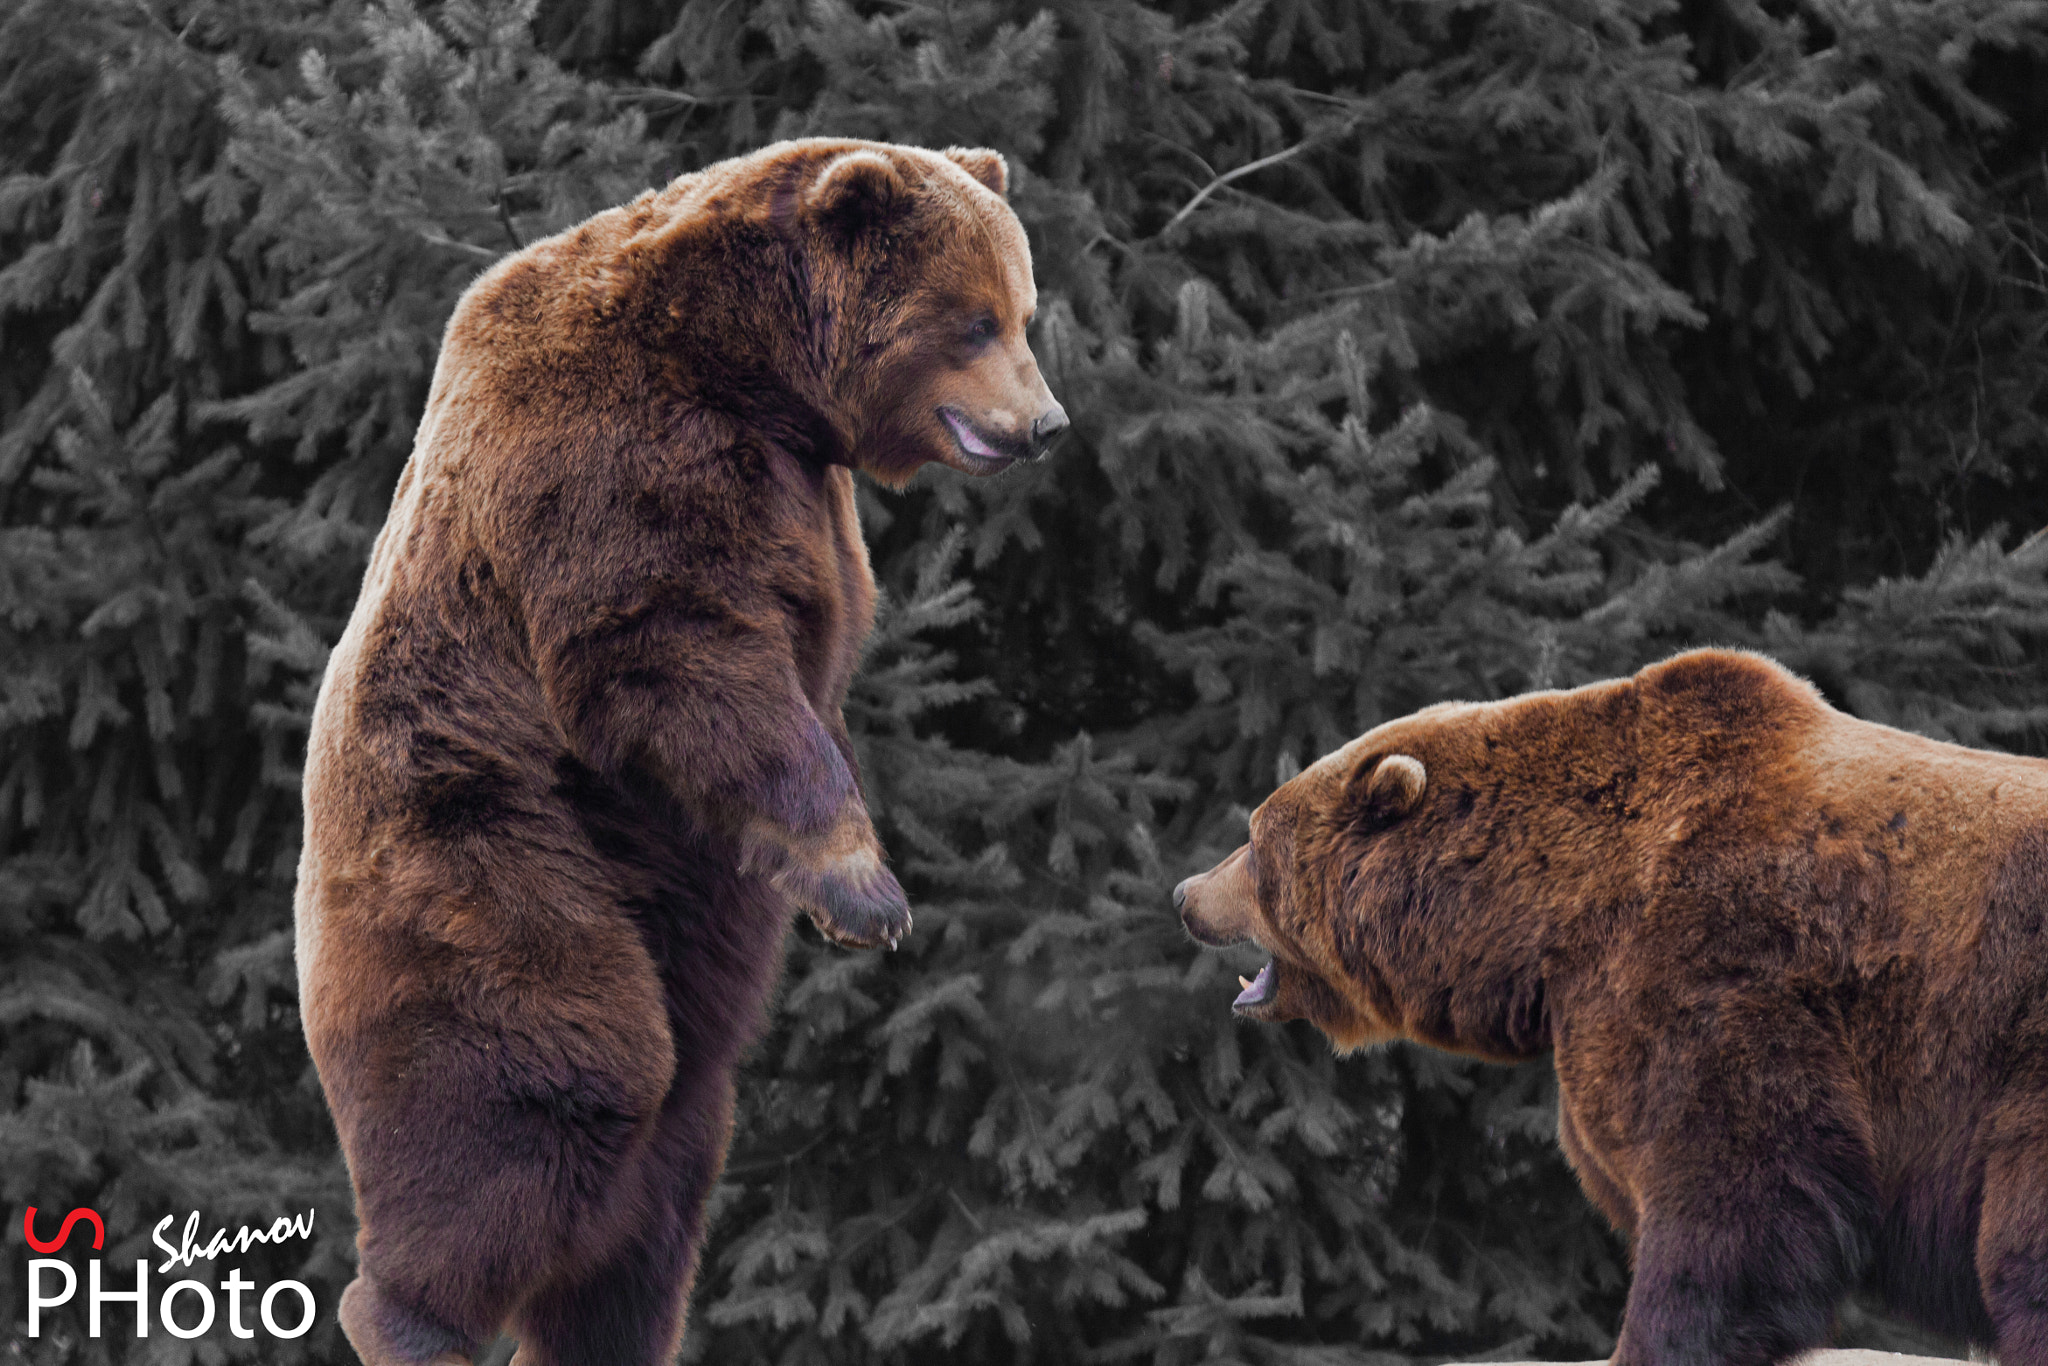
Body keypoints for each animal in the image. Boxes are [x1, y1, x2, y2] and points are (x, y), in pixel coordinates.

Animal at [294, 138, 1066, 1366]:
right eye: (970, 322)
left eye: (1021, 312)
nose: (1046, 424)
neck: (755, 371)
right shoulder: (615, 456)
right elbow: (678, 648)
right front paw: (865, 890)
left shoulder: (802, 498)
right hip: (477, 844)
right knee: (557, 1070)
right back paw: (412, 1320)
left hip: (673, 918)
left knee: (672, 1153)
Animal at [1174, 648, 2048, 1366]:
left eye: (1253, 838)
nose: (1184, 893)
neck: (1550, 908)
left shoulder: (1714, 964)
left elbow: (1734, 1184)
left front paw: (1659, 1338)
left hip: (2018, 1052)